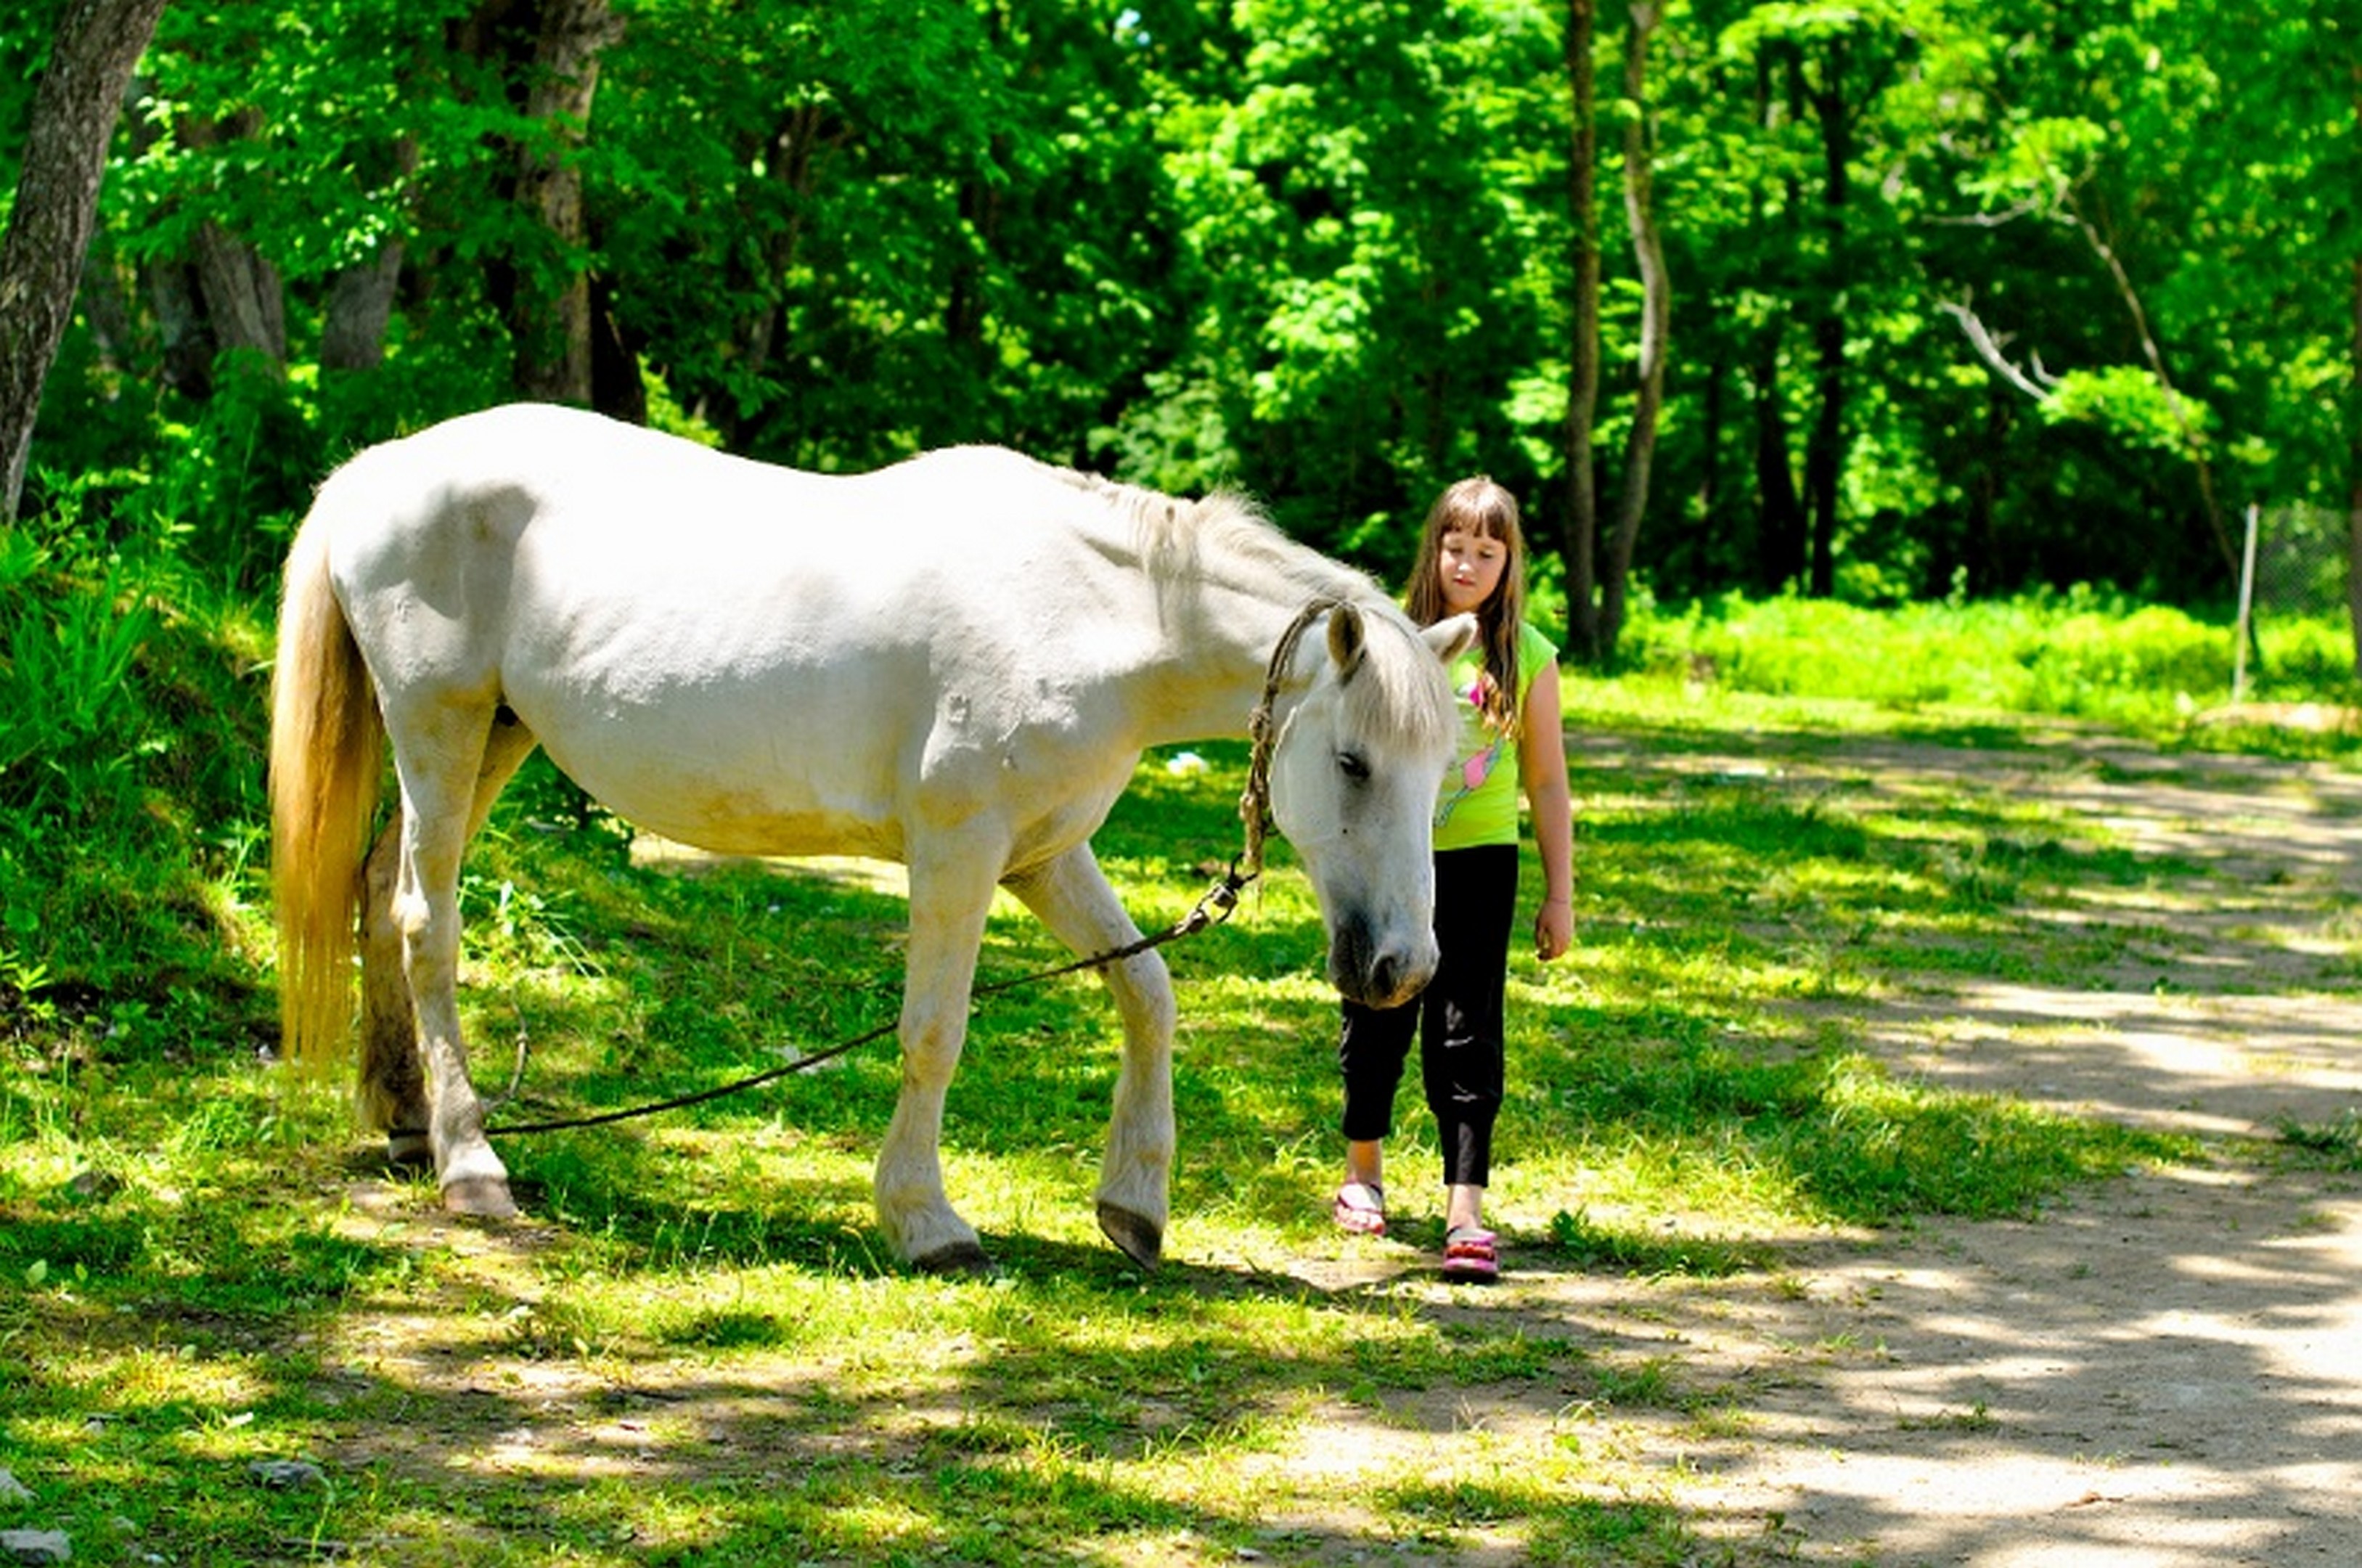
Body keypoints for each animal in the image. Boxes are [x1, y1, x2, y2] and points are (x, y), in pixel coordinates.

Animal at [268, 399, 1464, 1265]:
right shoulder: (958, 854)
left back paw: (407, 1119)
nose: (1403, 969)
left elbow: (1148, 995)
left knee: (378, 893)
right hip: (441, 725)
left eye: (1443, 775)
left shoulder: (1043, 856)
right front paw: (924, 1222)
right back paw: (472, 1167)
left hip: (492, 740)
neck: (1089, 612)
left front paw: (1132, 1207)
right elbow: (934, 1031)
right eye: (1352, 762)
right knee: (427, 921)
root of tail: (380, 468)